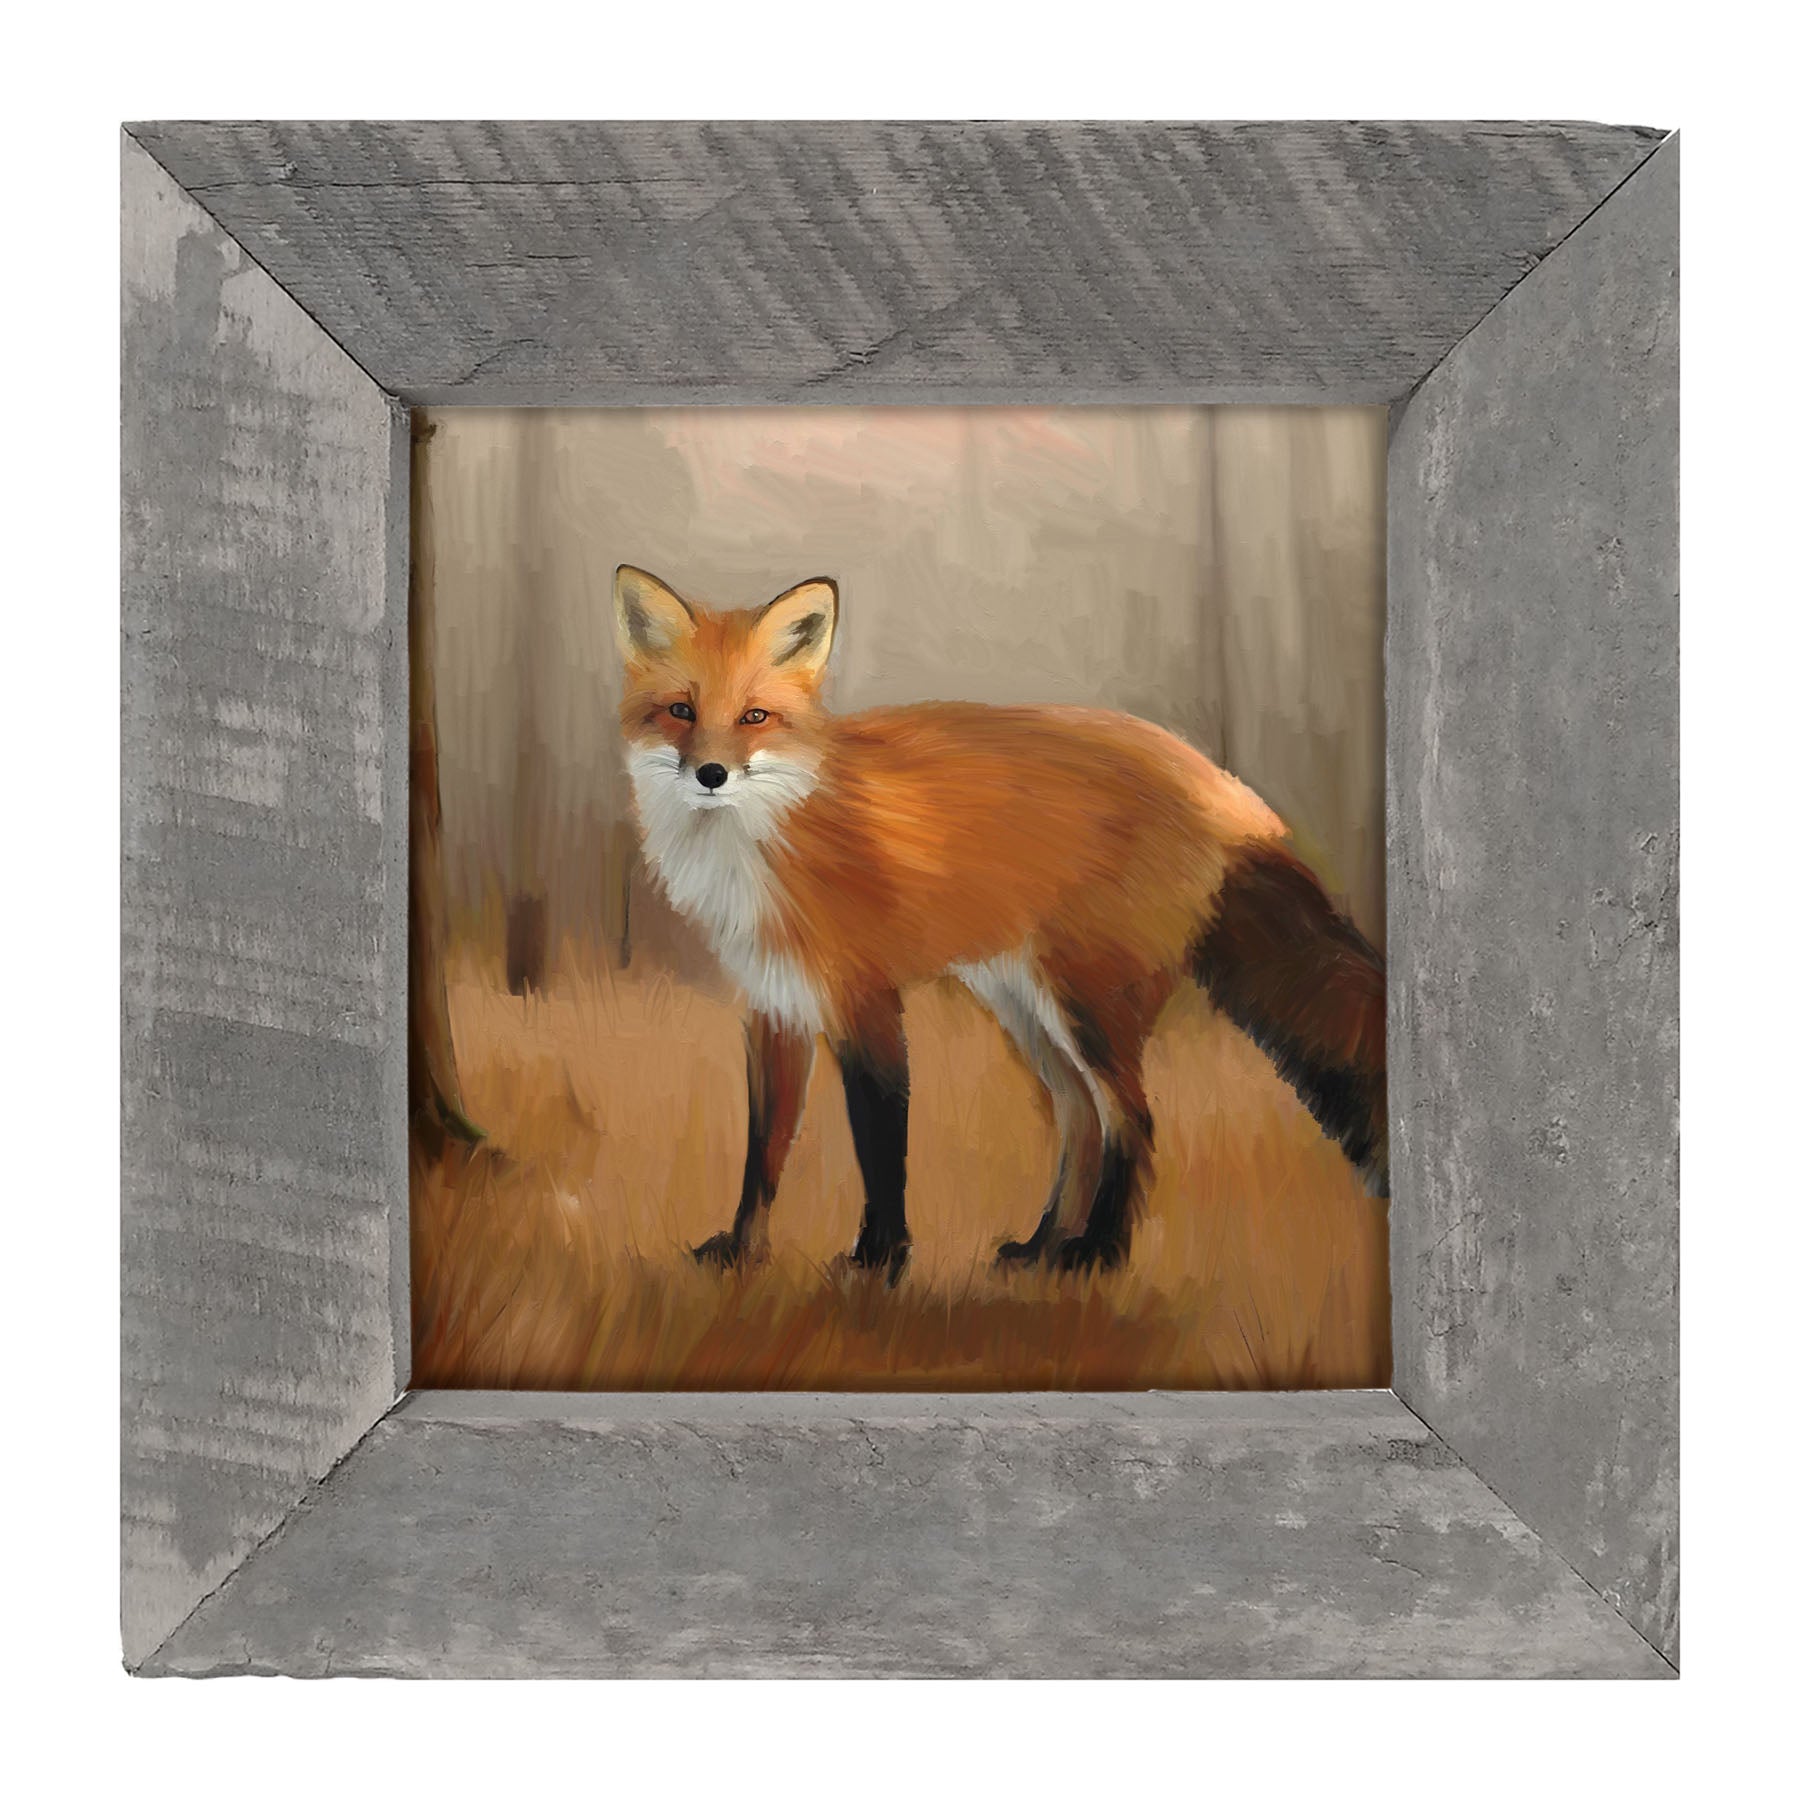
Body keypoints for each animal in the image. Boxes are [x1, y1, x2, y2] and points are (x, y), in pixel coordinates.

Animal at [613, 564, 1388, 1281]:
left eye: (753, 717)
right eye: (680, 710)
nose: (711, 774)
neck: (767, 838)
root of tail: (1222, 786)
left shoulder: (866, 1001)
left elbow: (880, 1142)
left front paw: (880, 1261)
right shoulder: (776, 1007)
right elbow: (764, 1151)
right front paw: (742, 1252)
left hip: (1087, 1003)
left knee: (1133, 1120)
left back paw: (1099, 1254)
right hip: (1026, 1006)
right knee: (1080, 1118)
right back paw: (1042, 1247)